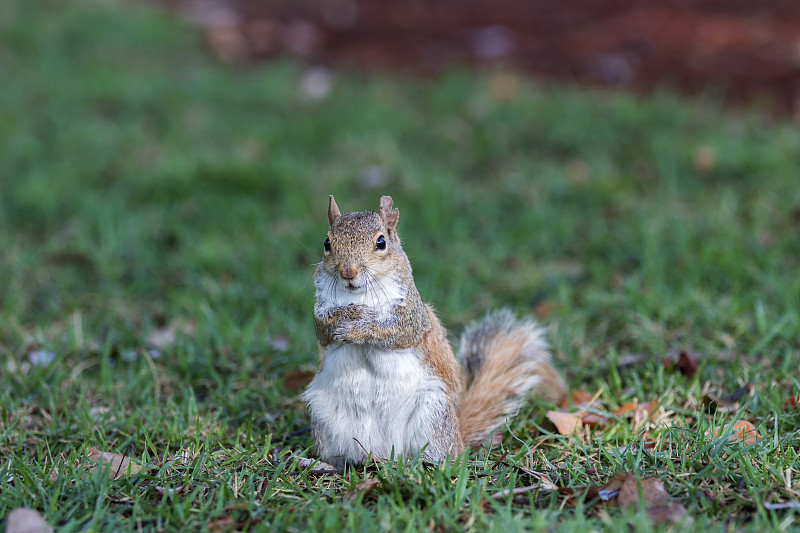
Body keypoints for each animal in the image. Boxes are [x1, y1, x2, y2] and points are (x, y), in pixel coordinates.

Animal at [304, 194, 564, 466]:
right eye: (327, 242)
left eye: (381, 242)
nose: (348, 272)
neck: (359, 295)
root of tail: (384, 454)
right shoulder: (320, 310)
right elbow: (322, 327)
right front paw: (344, 317)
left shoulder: (411, 314)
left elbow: (396, 332)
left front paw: (360, 326)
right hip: (324, 418)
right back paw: (321, 464)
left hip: (432, 414)